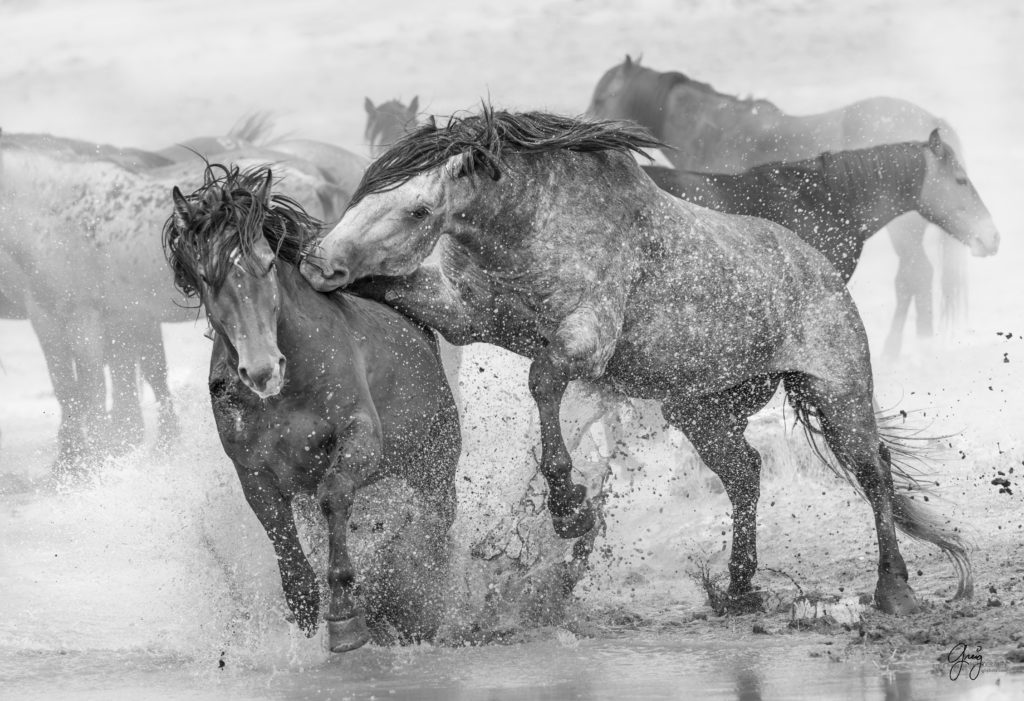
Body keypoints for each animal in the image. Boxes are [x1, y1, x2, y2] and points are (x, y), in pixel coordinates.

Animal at [163, 163, 460, 650]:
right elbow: (288, 552)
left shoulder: (359, 436)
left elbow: (335, 494)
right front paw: (304, 622)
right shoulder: (256, 474)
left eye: (266, 264)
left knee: (436, 526)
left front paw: (345, 620)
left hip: (433, 467)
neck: (287, 393)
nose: (263, 369)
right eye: (207, 276)